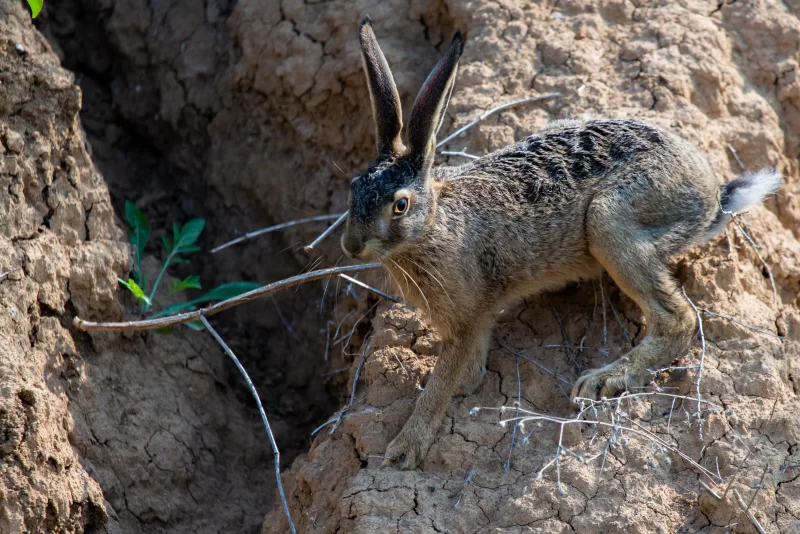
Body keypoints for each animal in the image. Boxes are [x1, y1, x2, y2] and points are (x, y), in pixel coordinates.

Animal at [340, 16, 782, 470]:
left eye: (400, 206)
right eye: (353, 187)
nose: (351, 246)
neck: (432, 226)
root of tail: (710, 196)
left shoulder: (466, 319)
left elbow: (442, 384)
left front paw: (404, 449)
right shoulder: (475, 320)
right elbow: (469, 369)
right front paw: (457, 391)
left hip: (609, 221)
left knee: (679, 318)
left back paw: (603, 379)